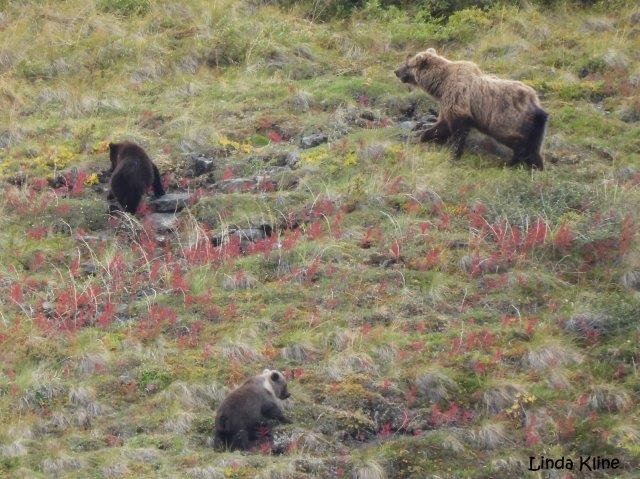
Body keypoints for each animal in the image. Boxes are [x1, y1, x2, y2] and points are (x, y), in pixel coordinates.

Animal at [392, 48, 548, 169]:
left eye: (407, 64)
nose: (396, 71)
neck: (440, 86)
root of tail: (535, 103)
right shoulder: (445, 104)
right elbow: (441, 126)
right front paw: (417, 136)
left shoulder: (458, 98)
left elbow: (458, 129)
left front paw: (454, 154)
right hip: (536, 126)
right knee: (534, 147)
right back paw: (535, 165)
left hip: (509, 119)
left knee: (519, 143)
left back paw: (509, 163)